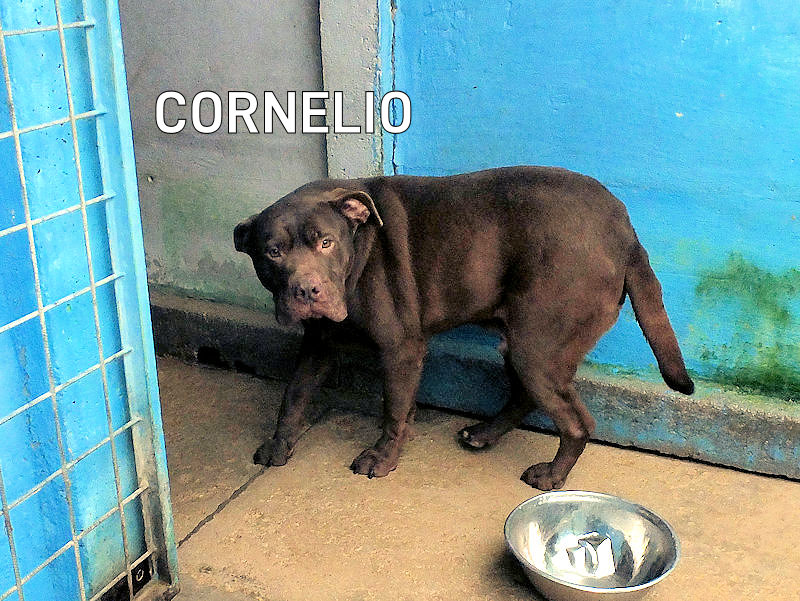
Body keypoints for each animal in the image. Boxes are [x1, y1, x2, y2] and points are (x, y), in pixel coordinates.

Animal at [234, 166, 694, 490]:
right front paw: (278, 445)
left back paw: (551, 476)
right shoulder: (318, 344)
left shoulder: (401, 350)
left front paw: (383, 459)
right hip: (524, 343)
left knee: (577, 422)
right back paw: (485, 434)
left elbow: (393, 409)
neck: (356, 249)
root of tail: (625, 234)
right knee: (526, 395)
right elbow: (293, 397)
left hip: (538, 346)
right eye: (273, 253)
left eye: (325, 243)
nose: (306, 290)